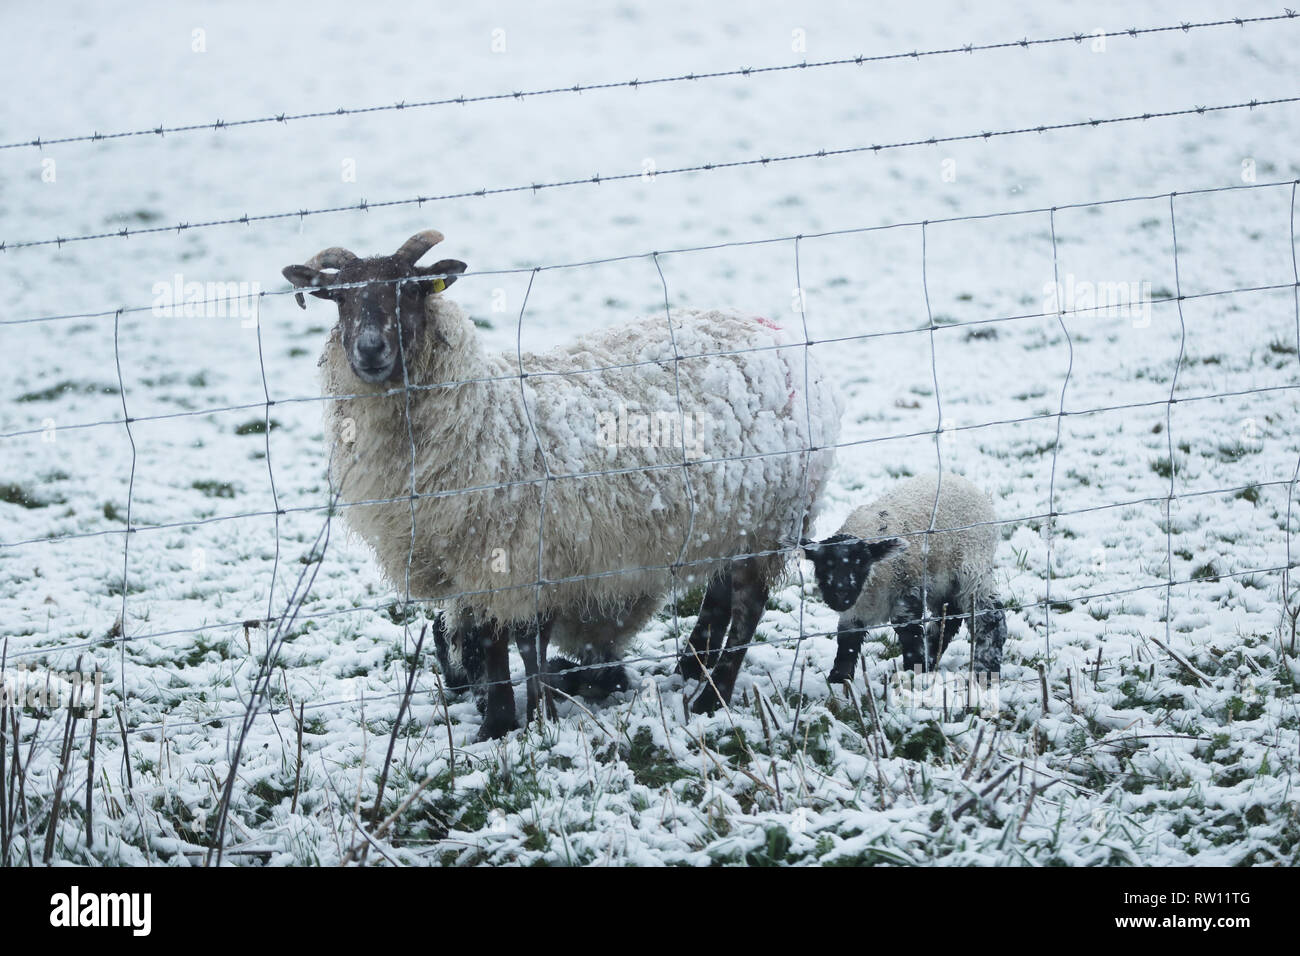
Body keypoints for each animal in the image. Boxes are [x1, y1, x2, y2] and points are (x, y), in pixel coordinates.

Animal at [283, 230, 842, 738]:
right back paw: (689, 666)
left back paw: (710, 695)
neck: (483, 416)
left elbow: (516, 641)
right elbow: (489, 637)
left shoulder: (522, 551)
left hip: (771, 514)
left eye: (411, 290)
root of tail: (782, 338)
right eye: (339, 298)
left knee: (748, 605)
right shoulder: (480, 560)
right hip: (729, 513)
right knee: (720, 592)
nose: (369, 349)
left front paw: (521, 720)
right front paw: (505, 717)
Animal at [800, 470, 1003, 681]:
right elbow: (847, 642)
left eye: (861, 565)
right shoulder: (854, 612)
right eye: (822, 567)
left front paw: (914, 673)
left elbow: (909, 634)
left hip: (972, 566)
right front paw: (839, 680)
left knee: (990, 615)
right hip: (943, 580)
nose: (840, 598)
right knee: (949, 615)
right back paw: (933, 655)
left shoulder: (907, 593)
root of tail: (965, 482)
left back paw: (985, 668)